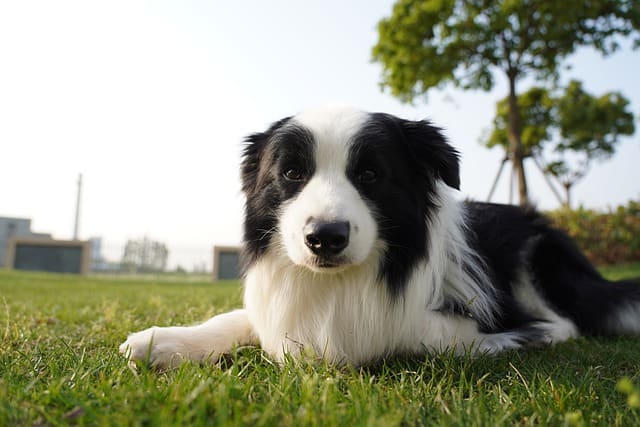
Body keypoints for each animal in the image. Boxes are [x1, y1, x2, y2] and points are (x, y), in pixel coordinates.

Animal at [120, 106, 640, 368]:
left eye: (370, 175)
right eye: (291, 173)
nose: (325, 238)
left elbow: (408, 330)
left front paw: (502, 339)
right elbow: (243, 319)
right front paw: (162, 342)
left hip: (536, 257)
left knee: (568, 321)